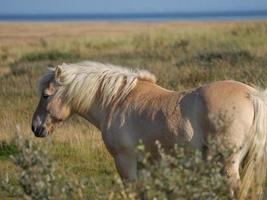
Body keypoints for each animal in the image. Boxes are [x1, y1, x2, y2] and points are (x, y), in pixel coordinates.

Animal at [31, 60, 267, 198]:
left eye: (46, 95)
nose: (35, 127)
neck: (116, 101)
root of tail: (251, 95)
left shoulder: (125, 161)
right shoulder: (144, 164)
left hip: (228, 163)